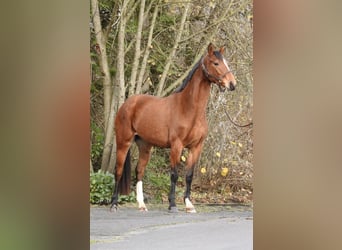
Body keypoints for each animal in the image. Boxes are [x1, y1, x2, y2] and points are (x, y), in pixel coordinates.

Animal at [111, 43, 236, 213]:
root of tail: (127, 104)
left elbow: (189, 175)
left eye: (226, 62)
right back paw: (114, 204)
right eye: (216, 63)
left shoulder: (196, 147)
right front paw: (173, 205)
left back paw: (142, 205)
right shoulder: (176, 146)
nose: (232, 84)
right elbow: (174, 174)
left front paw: (189, 205)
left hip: (145, 146)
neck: (189, 109)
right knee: (118, 170)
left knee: (139, 171)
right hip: (123, 142)